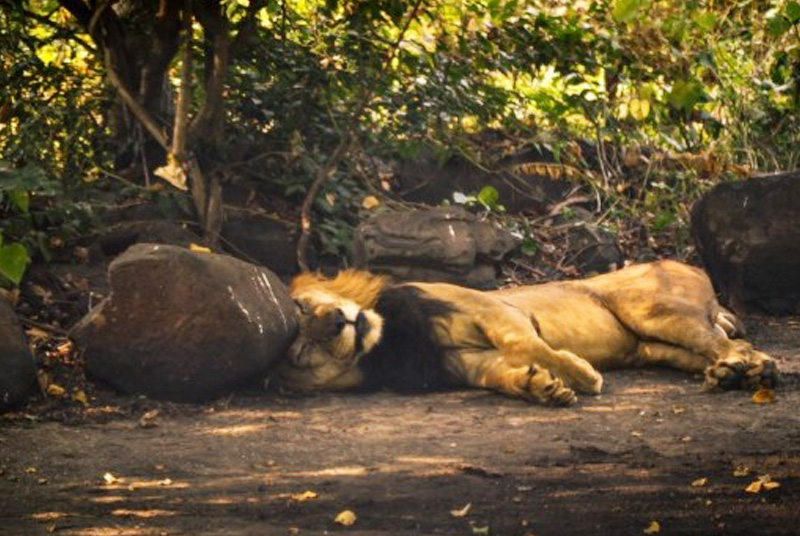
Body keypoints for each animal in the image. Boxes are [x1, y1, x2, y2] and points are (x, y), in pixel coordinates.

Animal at [278, 260, 780, 406]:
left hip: (651, 307)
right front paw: (540, 387)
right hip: (652, 346)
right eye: (301, 351)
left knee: (733, 342)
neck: (390, 344)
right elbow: (501, 372)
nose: (338, 321)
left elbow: (524, 341)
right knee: (709, 352)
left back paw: (748, 368)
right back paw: (731, 375)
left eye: (305, 306)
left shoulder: (487, 305)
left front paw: (579, 374)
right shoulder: (465, 363)